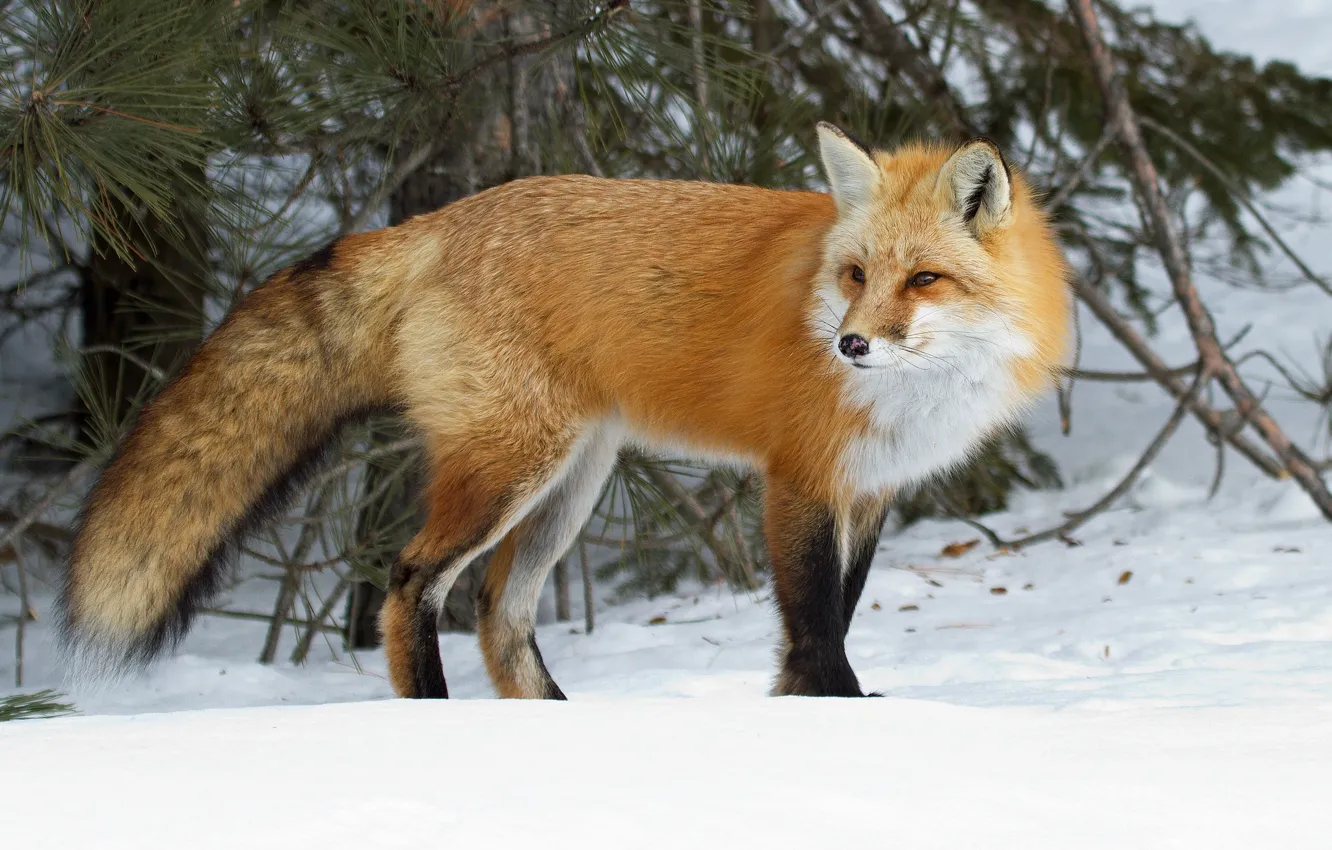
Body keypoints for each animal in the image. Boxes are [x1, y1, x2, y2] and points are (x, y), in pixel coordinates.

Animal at [59, 123, 1071, 699]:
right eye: (856, 275)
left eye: (924, 279)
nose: (850, 345)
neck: (916, 393)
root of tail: (433, 224)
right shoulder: (799, 481)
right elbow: (819, 633)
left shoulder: (869, 491)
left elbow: (825, 627)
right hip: (513, 468)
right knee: (413, 582)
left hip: (571, 484)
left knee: (500, 615)